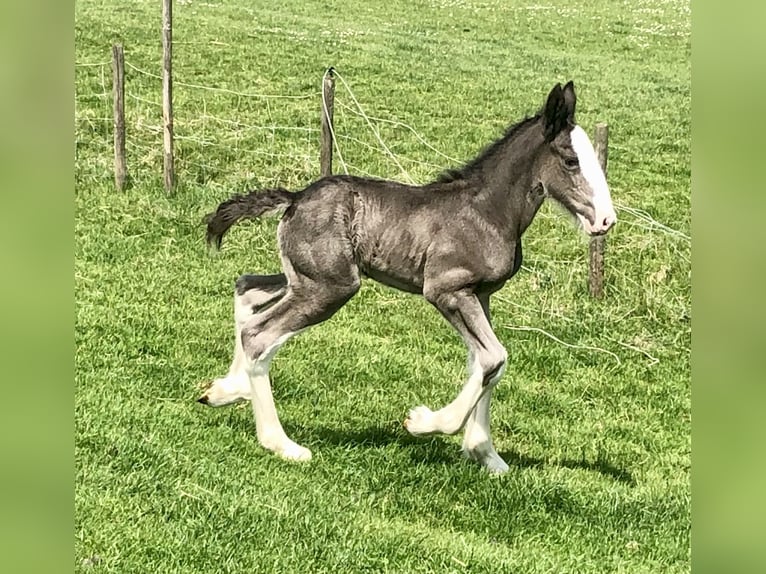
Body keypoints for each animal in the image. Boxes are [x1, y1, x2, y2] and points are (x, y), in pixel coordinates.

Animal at [198, 81, 616, 473]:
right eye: (570, 161)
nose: (605, 221)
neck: (487, 212)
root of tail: (295, 199)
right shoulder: (447, 291)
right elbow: (494, 358)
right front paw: (424, 423)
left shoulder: (481, 295)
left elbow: (484, 363)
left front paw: (487, 456)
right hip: (330, 287)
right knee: (259, 335)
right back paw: (283, 444)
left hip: (304, 277)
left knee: (247, 291)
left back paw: (224, 390)